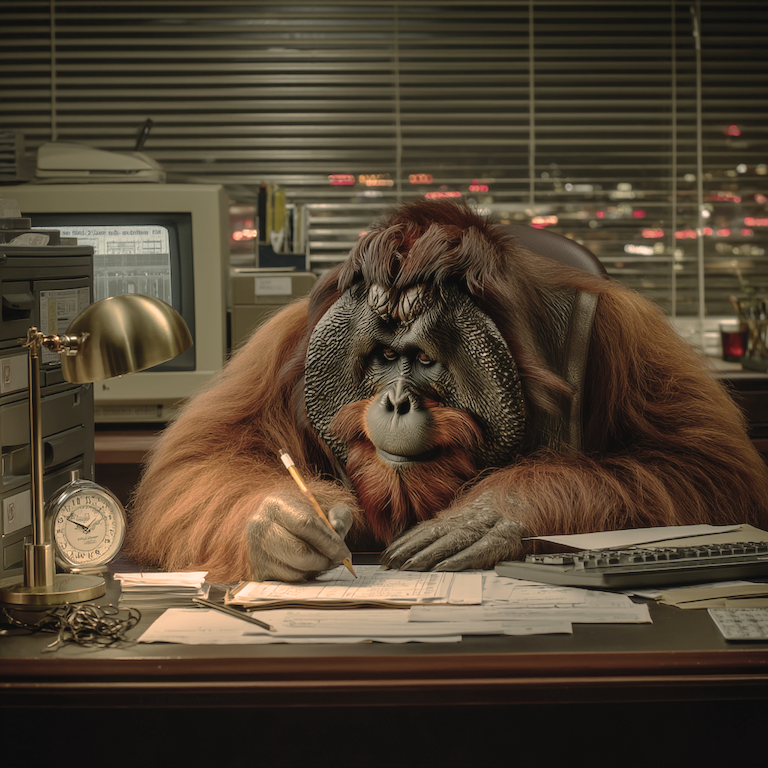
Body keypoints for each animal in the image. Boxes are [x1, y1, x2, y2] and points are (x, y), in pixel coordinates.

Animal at [126, 198, 768, 582]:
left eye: (425, 360)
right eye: (386, 357)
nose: (396, 400)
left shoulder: (621, 329)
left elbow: (698, 461)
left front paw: (487, 517)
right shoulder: (283, 342)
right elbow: (207, 455)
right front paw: (286, 524)